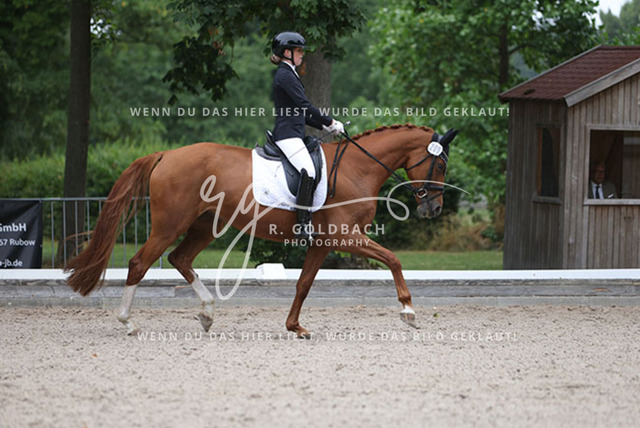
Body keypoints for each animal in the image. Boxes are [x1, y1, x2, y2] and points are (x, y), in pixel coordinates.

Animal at [65, 123, 458, 337]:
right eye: (439, 164)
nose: (434, 209)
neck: (357, 168)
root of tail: (166, 154)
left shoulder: (323, 242)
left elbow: (303, 283)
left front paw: (295, 326)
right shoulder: (345, 236)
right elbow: (393, 259)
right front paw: (408, 312)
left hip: (207, 226)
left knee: (180, 259)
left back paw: (207, 313)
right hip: (169, 224)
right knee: (139, 264)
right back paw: (128, 323)